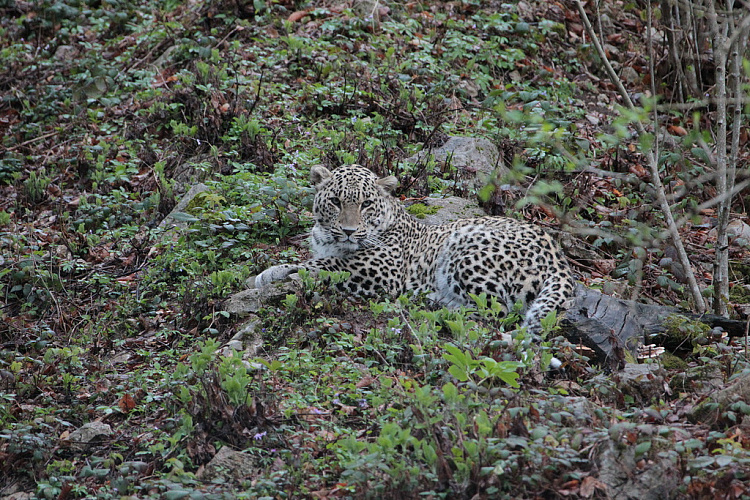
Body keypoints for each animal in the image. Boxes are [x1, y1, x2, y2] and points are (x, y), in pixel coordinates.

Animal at [256, 165, 580, 336]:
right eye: (335, 201)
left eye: (366, 204)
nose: (348, 230)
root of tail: (558, 256)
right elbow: (318, 260)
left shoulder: (380, 270)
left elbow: (321, 266)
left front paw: (269, 273)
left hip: (465, 249)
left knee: (497, 311)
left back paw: (436, 306)